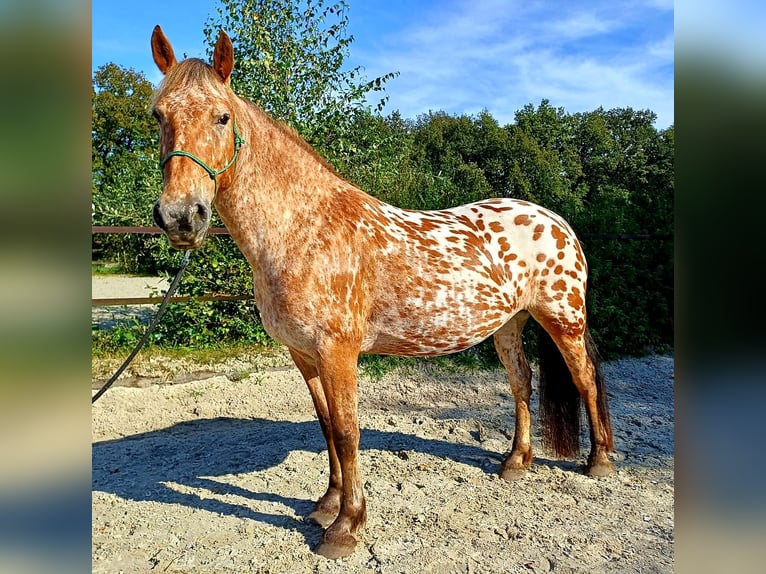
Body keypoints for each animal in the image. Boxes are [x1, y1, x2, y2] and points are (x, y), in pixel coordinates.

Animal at [152, 24, 616, 560]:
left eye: (222, 116)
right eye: (158, 114)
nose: (180, 217)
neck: (304, 229)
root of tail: (556, 220)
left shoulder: (338, 352)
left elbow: (348, 432)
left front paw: (346, 526)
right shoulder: (304, 355)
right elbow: (327, 427)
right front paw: (327, 505)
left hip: (563, 319)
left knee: (584, 379)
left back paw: (599, 461)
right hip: (508, 324)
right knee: (522, 382)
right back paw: (516, 462)